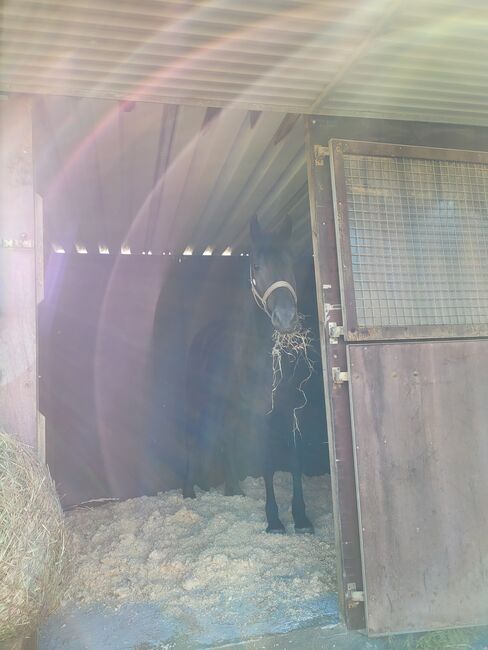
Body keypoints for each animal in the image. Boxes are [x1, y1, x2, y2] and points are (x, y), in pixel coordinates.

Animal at [183, 215, 316, 536]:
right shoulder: (260, 415)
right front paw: (274, 520)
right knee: (194, 438)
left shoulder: (291, 410)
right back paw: (189, 492)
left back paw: (233, 488)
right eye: (256, 266)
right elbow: (267, 460)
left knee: (227, 437)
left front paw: (302, 518)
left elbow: (295, 459)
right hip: (199, 402)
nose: (286, 318)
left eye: (290, 262)